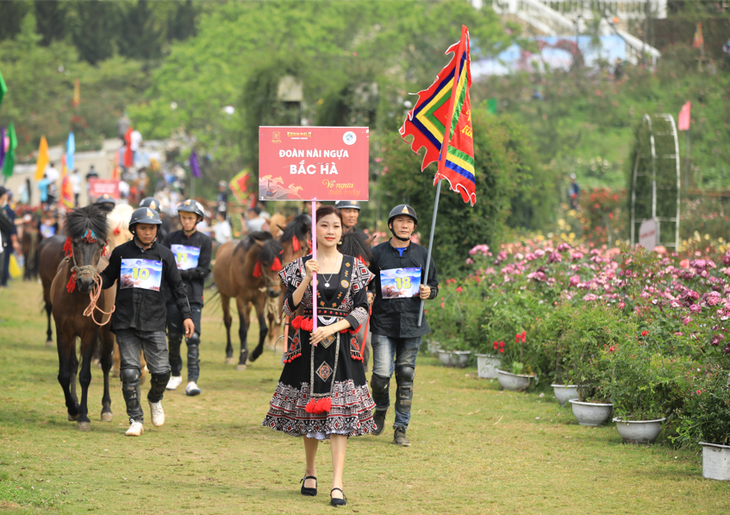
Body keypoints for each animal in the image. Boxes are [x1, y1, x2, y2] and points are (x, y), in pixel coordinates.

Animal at [50, 206, 115, 432]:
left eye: (100, 245)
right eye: (76, 243)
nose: (86, 282)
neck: (78, 297)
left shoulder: (90, 333)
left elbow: (85, 375)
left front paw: (84, 416)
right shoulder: (63, 332)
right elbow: (64, 373)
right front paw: (73, 408)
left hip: (107, 330)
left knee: (106, 363)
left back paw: (106, 408)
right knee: (72, 365)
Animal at [212, 232, 282, 368]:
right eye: (265, 263)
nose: (275, 291)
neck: (247, 268)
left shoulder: (259, 300)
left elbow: (263, 329)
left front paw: (253, 355)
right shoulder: (241, 300)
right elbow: (242, 330)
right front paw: (242, 360)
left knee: (248, 321)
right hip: (224, 295)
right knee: (228, 321)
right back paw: (230, 355)